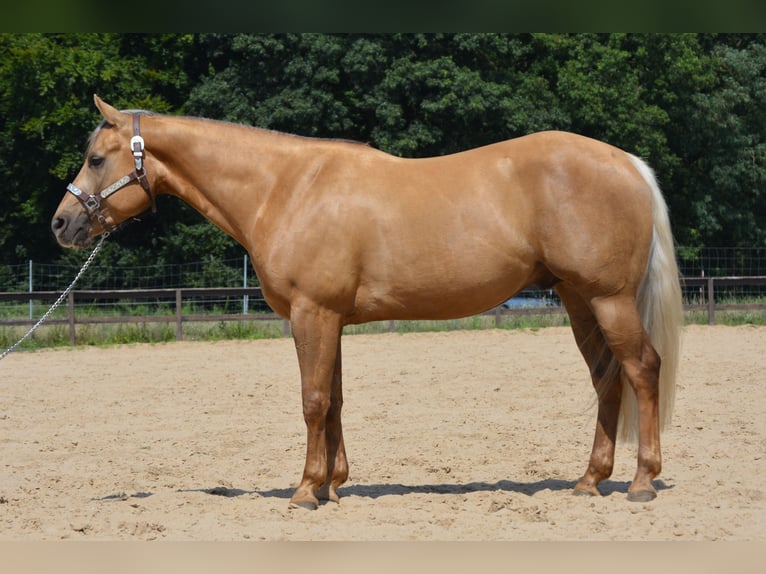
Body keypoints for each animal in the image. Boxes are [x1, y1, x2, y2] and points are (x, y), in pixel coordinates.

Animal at [52, 97, 684, 510]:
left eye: (97, 158)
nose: (61, 223)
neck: (286, 188)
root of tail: (628, 163)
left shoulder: (312, 314)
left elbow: (311, 401)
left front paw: (306, 491)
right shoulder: (328, 319)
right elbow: (332, 400)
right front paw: (333, 483)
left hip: (608, 299)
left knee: (641, 369)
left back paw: (641, 482)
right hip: (579, 300)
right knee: (607, 379)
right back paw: (589, 480)